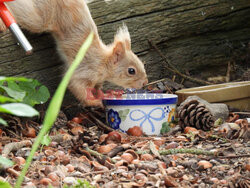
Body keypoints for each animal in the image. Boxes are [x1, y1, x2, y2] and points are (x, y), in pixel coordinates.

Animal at [0, 0, 148, 106]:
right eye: (131, 71)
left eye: (142, 64)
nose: (145, 83)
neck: (103, 62)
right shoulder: (84, 70)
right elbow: (77, 86)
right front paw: (95, 102)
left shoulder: (97, 79)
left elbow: (98, 89)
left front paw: (108, 94)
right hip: (40, 18)